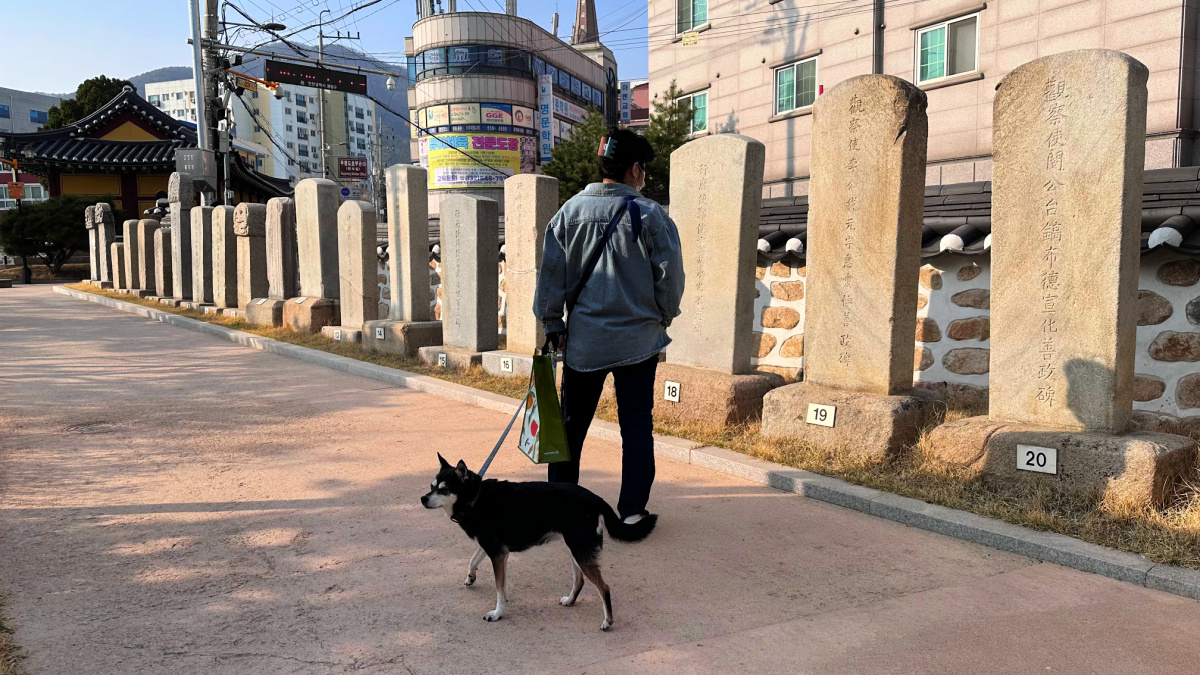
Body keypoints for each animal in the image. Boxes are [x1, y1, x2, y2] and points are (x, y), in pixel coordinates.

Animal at [422, 451, 662, 629]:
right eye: (432, 486)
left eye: (444, 489)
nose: (423, 498)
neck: (475, 497)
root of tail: (595, 498)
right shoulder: (496, 550)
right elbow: (475, 562)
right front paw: (472, 577)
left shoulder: (497, 552)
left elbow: (498, 587)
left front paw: (497, 613)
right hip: (576, 549)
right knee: (580, 581)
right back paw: (570, 601)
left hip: (580, 550)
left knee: (604, 587)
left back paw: (608, 621)